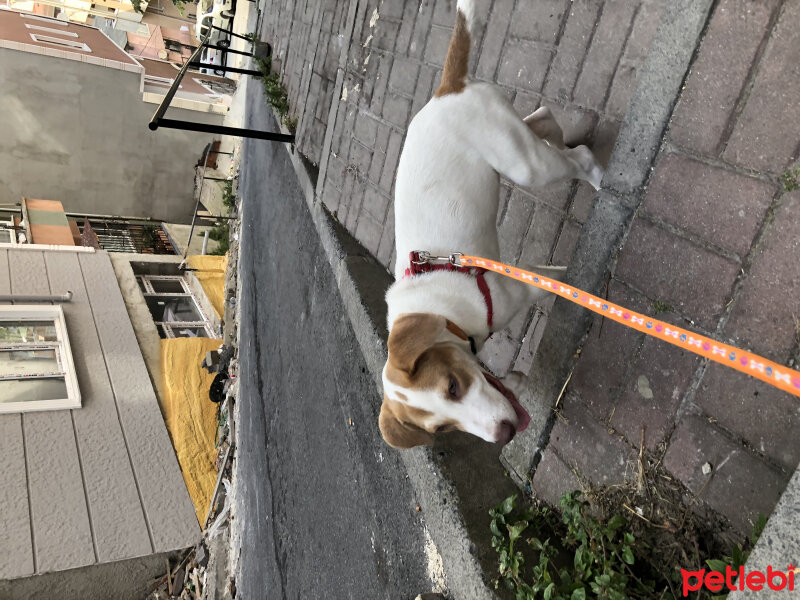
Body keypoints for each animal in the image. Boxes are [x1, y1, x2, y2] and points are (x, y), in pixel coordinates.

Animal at [380, 0, 600, 450]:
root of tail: (445, 89)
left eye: (452, 386)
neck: (439, 313)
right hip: (512, 145)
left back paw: (596, 173)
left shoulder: (524, 283)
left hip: (524, 164)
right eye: (440, 429)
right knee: (544, 120)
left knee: (572, 154)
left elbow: (564, 280)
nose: (503, 435)